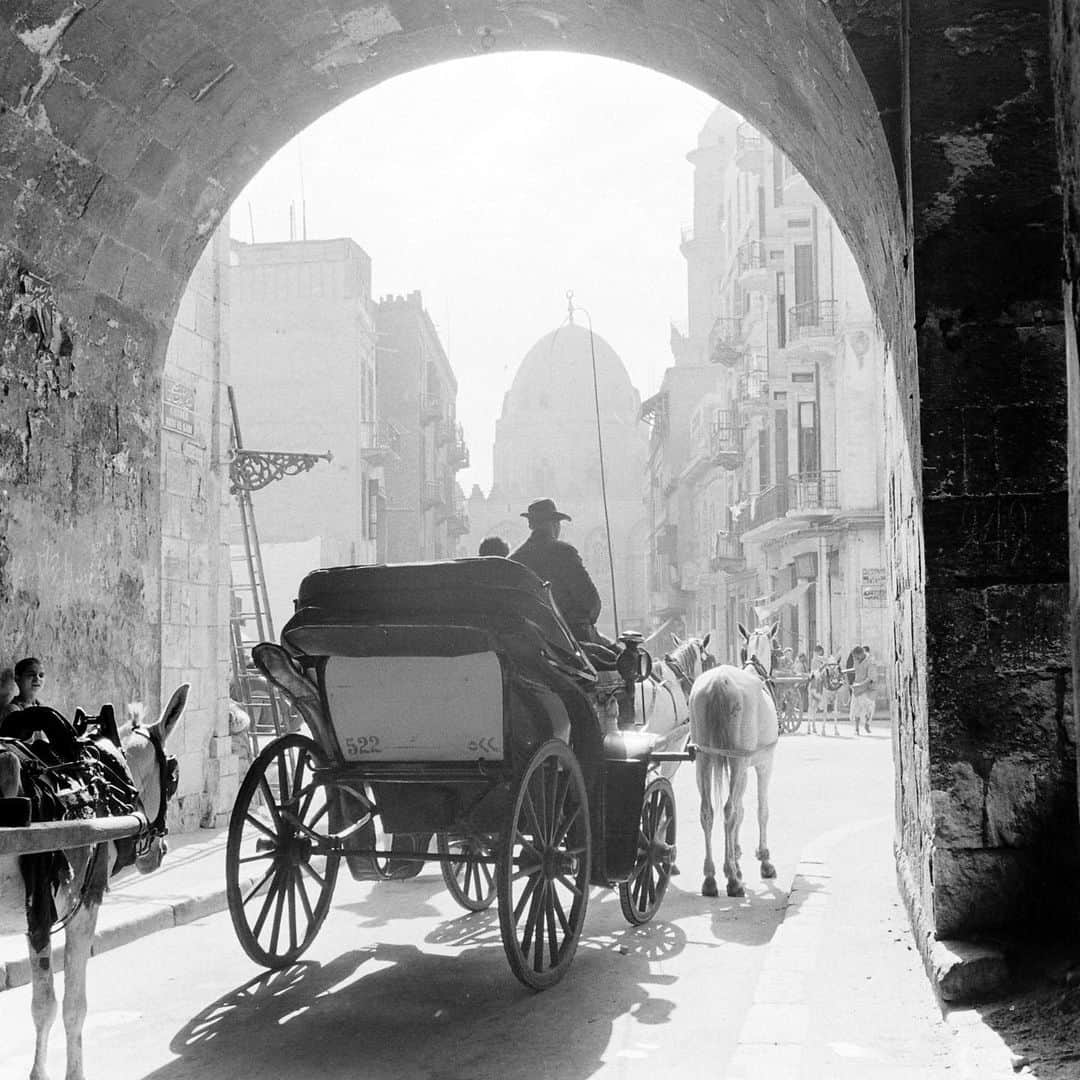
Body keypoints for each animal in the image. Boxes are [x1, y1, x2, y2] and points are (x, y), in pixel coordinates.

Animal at [0, 686, 187, 1080]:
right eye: (173, 775)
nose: (160, 850)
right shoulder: (79, 906)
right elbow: (64, 1005)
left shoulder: (34, 918)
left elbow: (45, 1005)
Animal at [691, 622, 777, 898]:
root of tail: (719, 682)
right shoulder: (762, 763)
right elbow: (760, 809)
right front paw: (763, 859)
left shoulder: (743, 766)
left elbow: (740, 810)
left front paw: (736, 857)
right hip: (737, 760)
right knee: (728, 809)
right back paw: (731, 879)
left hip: (704, 757)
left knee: (707, 811)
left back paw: (710, 877)